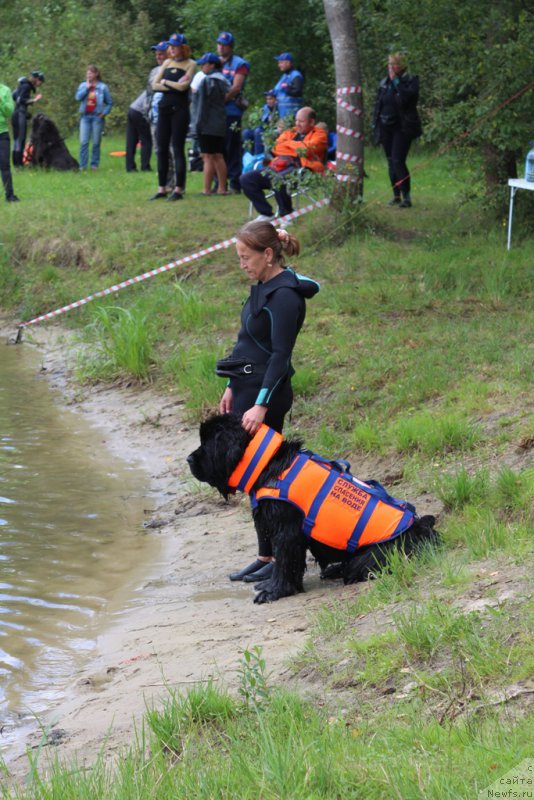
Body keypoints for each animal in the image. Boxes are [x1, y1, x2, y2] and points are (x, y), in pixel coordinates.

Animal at [188, 416, 440, 604]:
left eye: (206, 444)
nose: (188, 459)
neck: (269, 464)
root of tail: (424, 531)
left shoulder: (286, 529)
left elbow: (284, 561)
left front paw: (274, 591)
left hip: (375, 554)